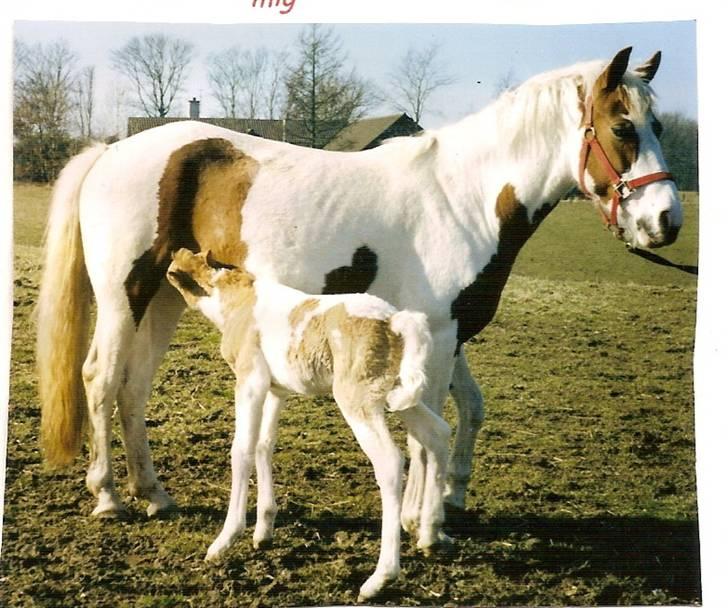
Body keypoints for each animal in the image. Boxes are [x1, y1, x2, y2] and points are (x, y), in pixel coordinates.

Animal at [35, 48, 684, 548]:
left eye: (657, 127)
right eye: (623, 127)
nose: (666, 221)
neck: (462, 197)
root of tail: (110, 151)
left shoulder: (451, 335)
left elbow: (457, 414)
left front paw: (439, 505)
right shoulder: (437, 335)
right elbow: (428, 428)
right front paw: (425, 524)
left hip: (166, 300)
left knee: (134, 386)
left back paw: (154, 493)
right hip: (124, 296)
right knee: (100, 377)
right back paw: (109, 497)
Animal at [166, 249, 450, 600]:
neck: (236, 300)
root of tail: (395, 322)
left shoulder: (250, 381)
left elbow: (241, 449)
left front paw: (223, 542)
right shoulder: (276, 389)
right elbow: (263, 445)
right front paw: (263, 531)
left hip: (356, 398)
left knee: (390, 461)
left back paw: (379, 578)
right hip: (395, 396)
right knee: (437, 433)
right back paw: (429, 535)